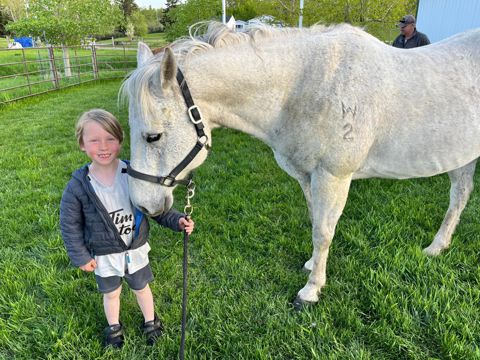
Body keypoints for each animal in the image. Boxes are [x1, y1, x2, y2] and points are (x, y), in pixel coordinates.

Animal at [122, 22, 480, 308]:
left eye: (153, 136)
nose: (143, 205)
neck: (303, 88)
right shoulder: (307, 177)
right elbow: (314, 223)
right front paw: (312, 266)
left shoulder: (333, 177)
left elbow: (323, 231)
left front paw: (311, 291)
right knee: (460, 196)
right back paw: (437, 247)